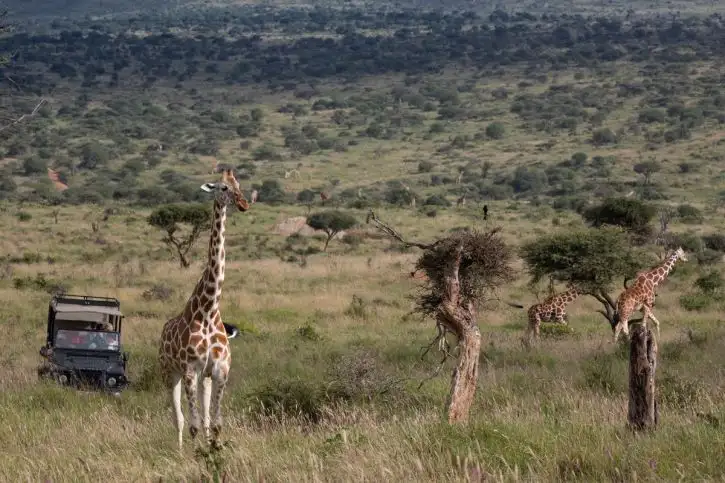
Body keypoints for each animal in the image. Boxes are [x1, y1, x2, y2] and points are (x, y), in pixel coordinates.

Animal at [158, 169, 249, 450]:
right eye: (222, 188)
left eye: (239, 185)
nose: (244, 203)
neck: (208, 310)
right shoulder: (189, 370)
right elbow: (193, 424)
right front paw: (194, 454)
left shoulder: (218, 371)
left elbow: (215, 423)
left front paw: (214, 449)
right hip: (169, 372)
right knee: (178, 418)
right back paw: (179, 451)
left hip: (203, 378)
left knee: (204, 416)